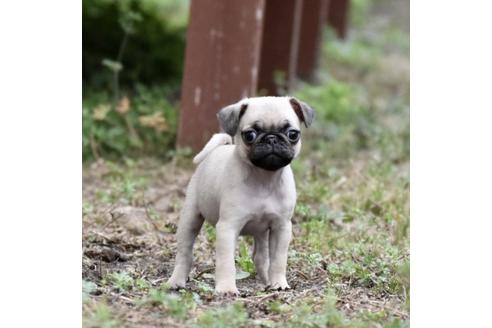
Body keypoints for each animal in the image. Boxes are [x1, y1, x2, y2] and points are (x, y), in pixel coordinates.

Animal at [167, 96, 314, 294]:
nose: (272, 138)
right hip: (190, 218)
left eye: (292, 134)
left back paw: (267, 282)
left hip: (261, 232)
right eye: (250, 135)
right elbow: (226, 262)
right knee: (184, 253)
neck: (264, 177)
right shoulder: (228, 227)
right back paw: (176, 281)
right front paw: (227, 288)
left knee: (261, 257)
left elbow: (278, 260)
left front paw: (278, 283)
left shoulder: (281, 228)